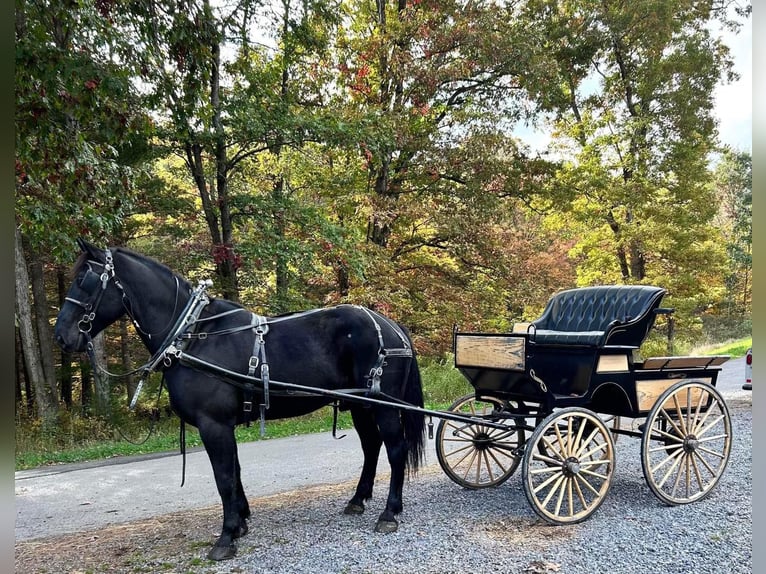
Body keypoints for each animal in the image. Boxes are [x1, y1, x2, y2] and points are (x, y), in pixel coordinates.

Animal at [55, 240, 426, 564]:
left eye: (83, 280)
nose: (62, 336)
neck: (192, 336)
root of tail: (390, 325)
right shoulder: (224, 425)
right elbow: (235, 471)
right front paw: (241, 522)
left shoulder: (214, 424)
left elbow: (223, 478)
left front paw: (226, 536)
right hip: (361, 405)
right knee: (371, 447)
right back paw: (358, 500)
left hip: (385, 406)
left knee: (395, 450)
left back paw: (390, 512)